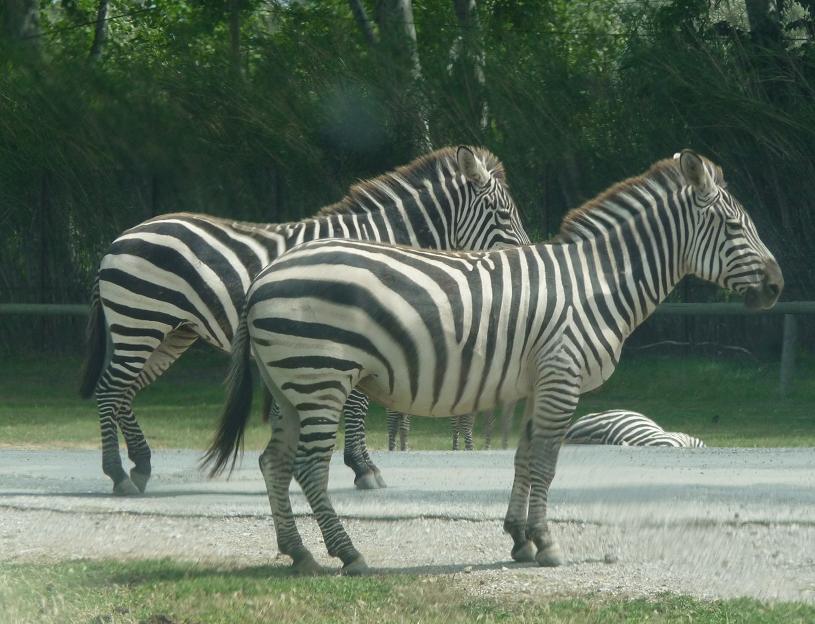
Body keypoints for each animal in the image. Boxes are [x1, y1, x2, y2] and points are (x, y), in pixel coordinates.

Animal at [79, 144, 532, 494]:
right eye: (504, 215)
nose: (525, 259)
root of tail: (119, 239)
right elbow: (357, 405)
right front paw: (364, 468)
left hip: (169, 332)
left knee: (125, 392)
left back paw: (140, 466)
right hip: (140, 322)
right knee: (109, 390)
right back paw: (119, 475)